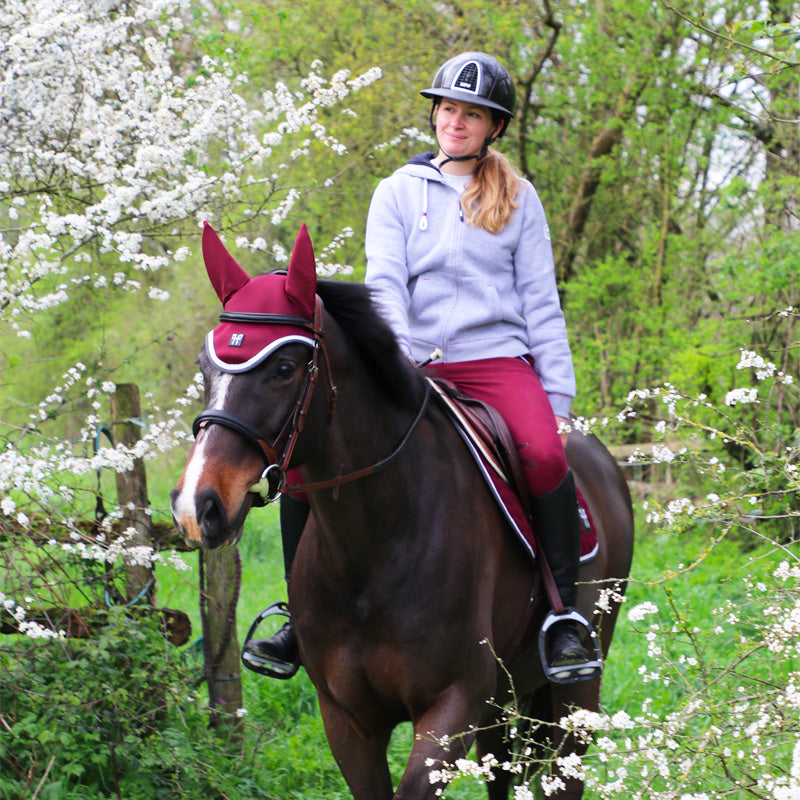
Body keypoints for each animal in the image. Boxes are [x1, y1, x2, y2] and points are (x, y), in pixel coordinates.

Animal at [171, 223, 634, 800]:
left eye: (283, 367)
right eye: (205, 367)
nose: (198, 506)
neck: (375, 548)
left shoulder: (451, 710)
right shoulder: (347, 719)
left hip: (573, 699)